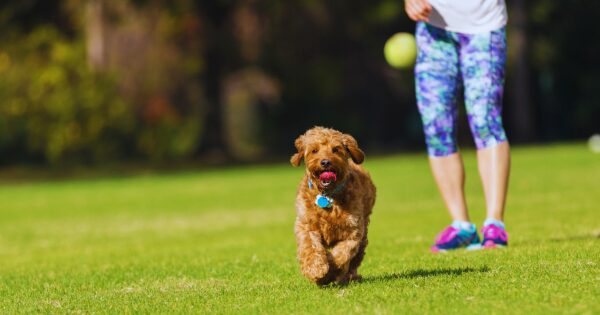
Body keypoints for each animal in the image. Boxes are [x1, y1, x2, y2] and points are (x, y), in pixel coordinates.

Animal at [290, 126, 376, 286]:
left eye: (336, 149)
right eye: (314, 150)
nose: (325, 162)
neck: (327, 196)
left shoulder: (353, 231)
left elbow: (341, 254)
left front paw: (330, 271)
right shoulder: (306, 225)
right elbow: (310, 246)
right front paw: (316, 269)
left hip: (363, 235)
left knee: (355, 260)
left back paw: (350, 276)